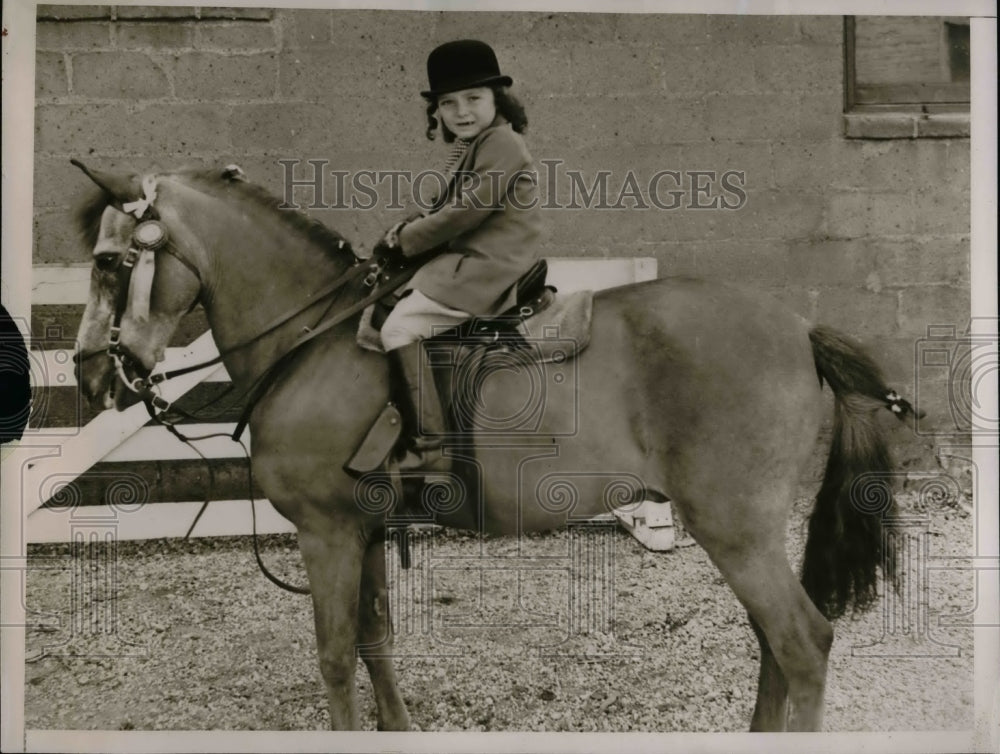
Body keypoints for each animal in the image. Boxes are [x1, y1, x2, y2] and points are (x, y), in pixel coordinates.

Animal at [70, 160, 916, 728]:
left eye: (110, 263)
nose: (88, 373)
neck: (315, 340)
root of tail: (798, 330)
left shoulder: (326, 533)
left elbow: (336, 655)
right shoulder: (363, 530)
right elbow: (376, 639)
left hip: (734, 526)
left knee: (801, 642)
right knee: (773, 641)